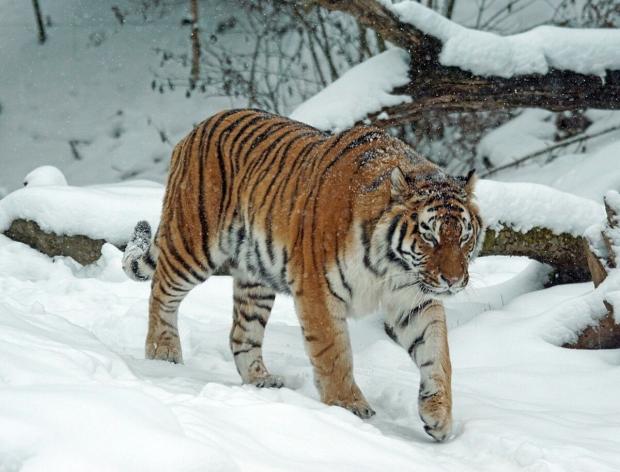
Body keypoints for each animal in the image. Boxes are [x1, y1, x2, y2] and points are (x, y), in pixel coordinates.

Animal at [122, 109, 484, 440]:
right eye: (429, 236)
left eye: (464, 236)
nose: (453, 281)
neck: (391, 266)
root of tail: (197, 128)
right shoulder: (317, 291)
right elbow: (334, 354)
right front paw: (348, 406)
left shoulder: (414, 298)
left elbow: (437, 353)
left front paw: (439, 416)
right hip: (193, 242)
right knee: (161, 292)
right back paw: (162, 354)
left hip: (255, 278)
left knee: (241, 333)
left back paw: (261, 381)